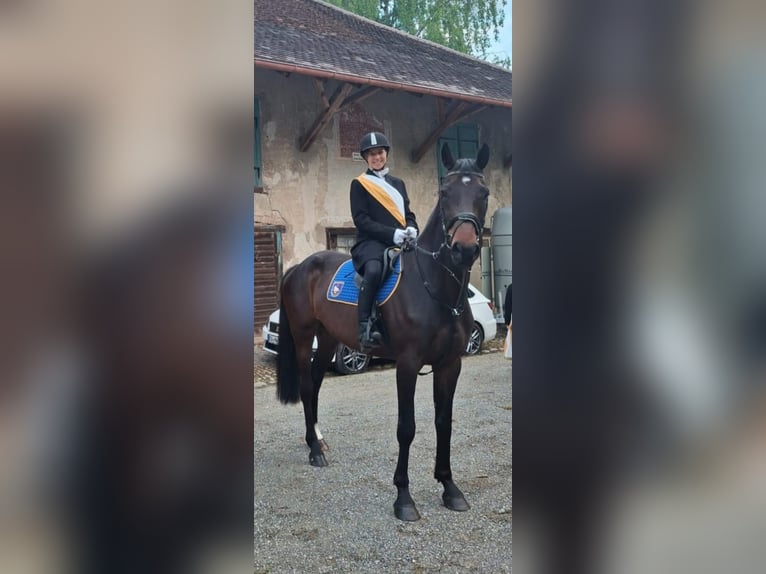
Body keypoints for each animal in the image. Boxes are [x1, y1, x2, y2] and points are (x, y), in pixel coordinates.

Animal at [276, 142, 491, 521]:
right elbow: (407, 428)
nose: (463, 249)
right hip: (303, 339)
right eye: (445, 193)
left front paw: (449, 487)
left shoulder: (450, 364)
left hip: (328, 339)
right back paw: (314, 451)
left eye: (484, 193)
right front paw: (403, 497)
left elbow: (444, 422)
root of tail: (300, 266)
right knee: (305, 386)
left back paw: (317, 440)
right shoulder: (407, 363)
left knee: (315, 384)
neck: (434, 285)